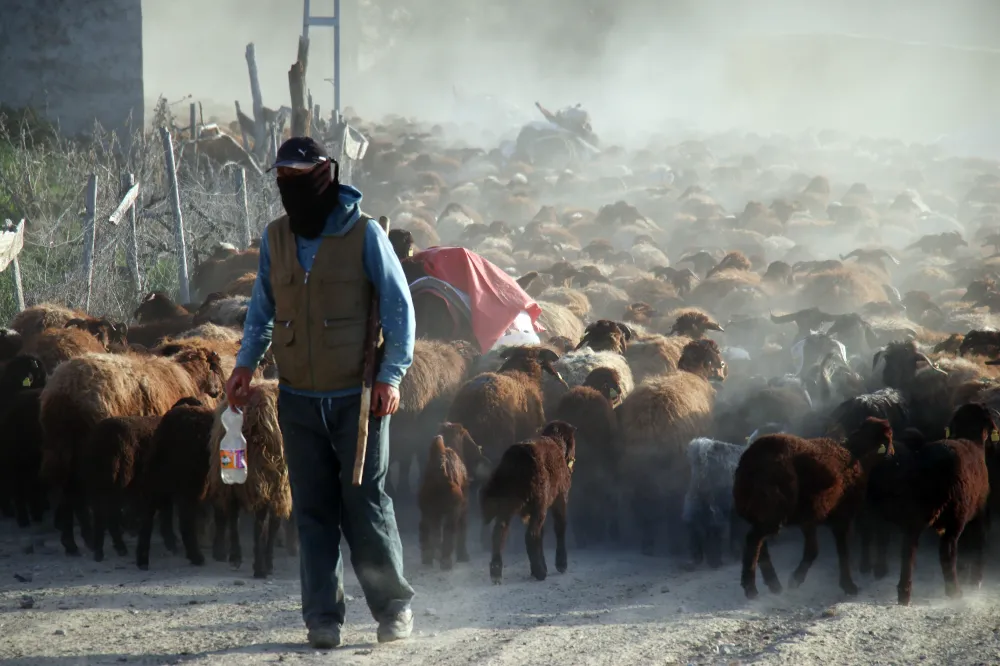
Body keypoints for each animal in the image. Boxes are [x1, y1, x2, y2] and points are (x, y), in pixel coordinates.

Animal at [478, 420, 576, 580]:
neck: (557, 442)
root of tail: (515, 457)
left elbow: (542, 534)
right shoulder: (560, 498)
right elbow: (560, 527)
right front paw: (561, 564)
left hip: (508, 506)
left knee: (500, 532)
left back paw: (496, 572)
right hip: (538, 504)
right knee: (531, 535)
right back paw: (540, 572)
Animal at [732, 416, 896, 596]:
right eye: (890, 436)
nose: (893, 455)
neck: (858, 456)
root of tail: (751, 461)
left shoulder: (809, 517)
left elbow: (812, 550)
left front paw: (796, 579)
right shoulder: (842, 515)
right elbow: (843, 551)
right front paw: (848, 585)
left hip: (758, 510)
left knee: (760, 543)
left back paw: (774, 584)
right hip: (773, 509)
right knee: (753, 540)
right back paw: (751, 587)